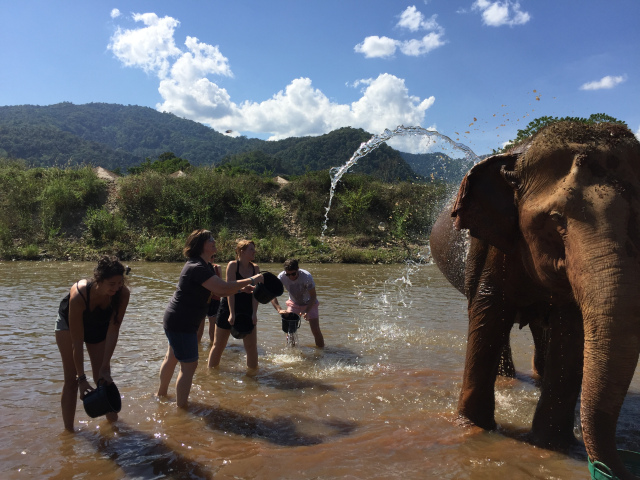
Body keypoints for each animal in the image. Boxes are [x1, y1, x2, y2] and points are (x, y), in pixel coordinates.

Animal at [429, 121, 640, 479]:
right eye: (555, 220)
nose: (609, 470)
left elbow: (570, 329)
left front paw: (551, 445)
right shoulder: (491, 241)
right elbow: (490, 310)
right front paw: (473, 429)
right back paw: (508, 378)